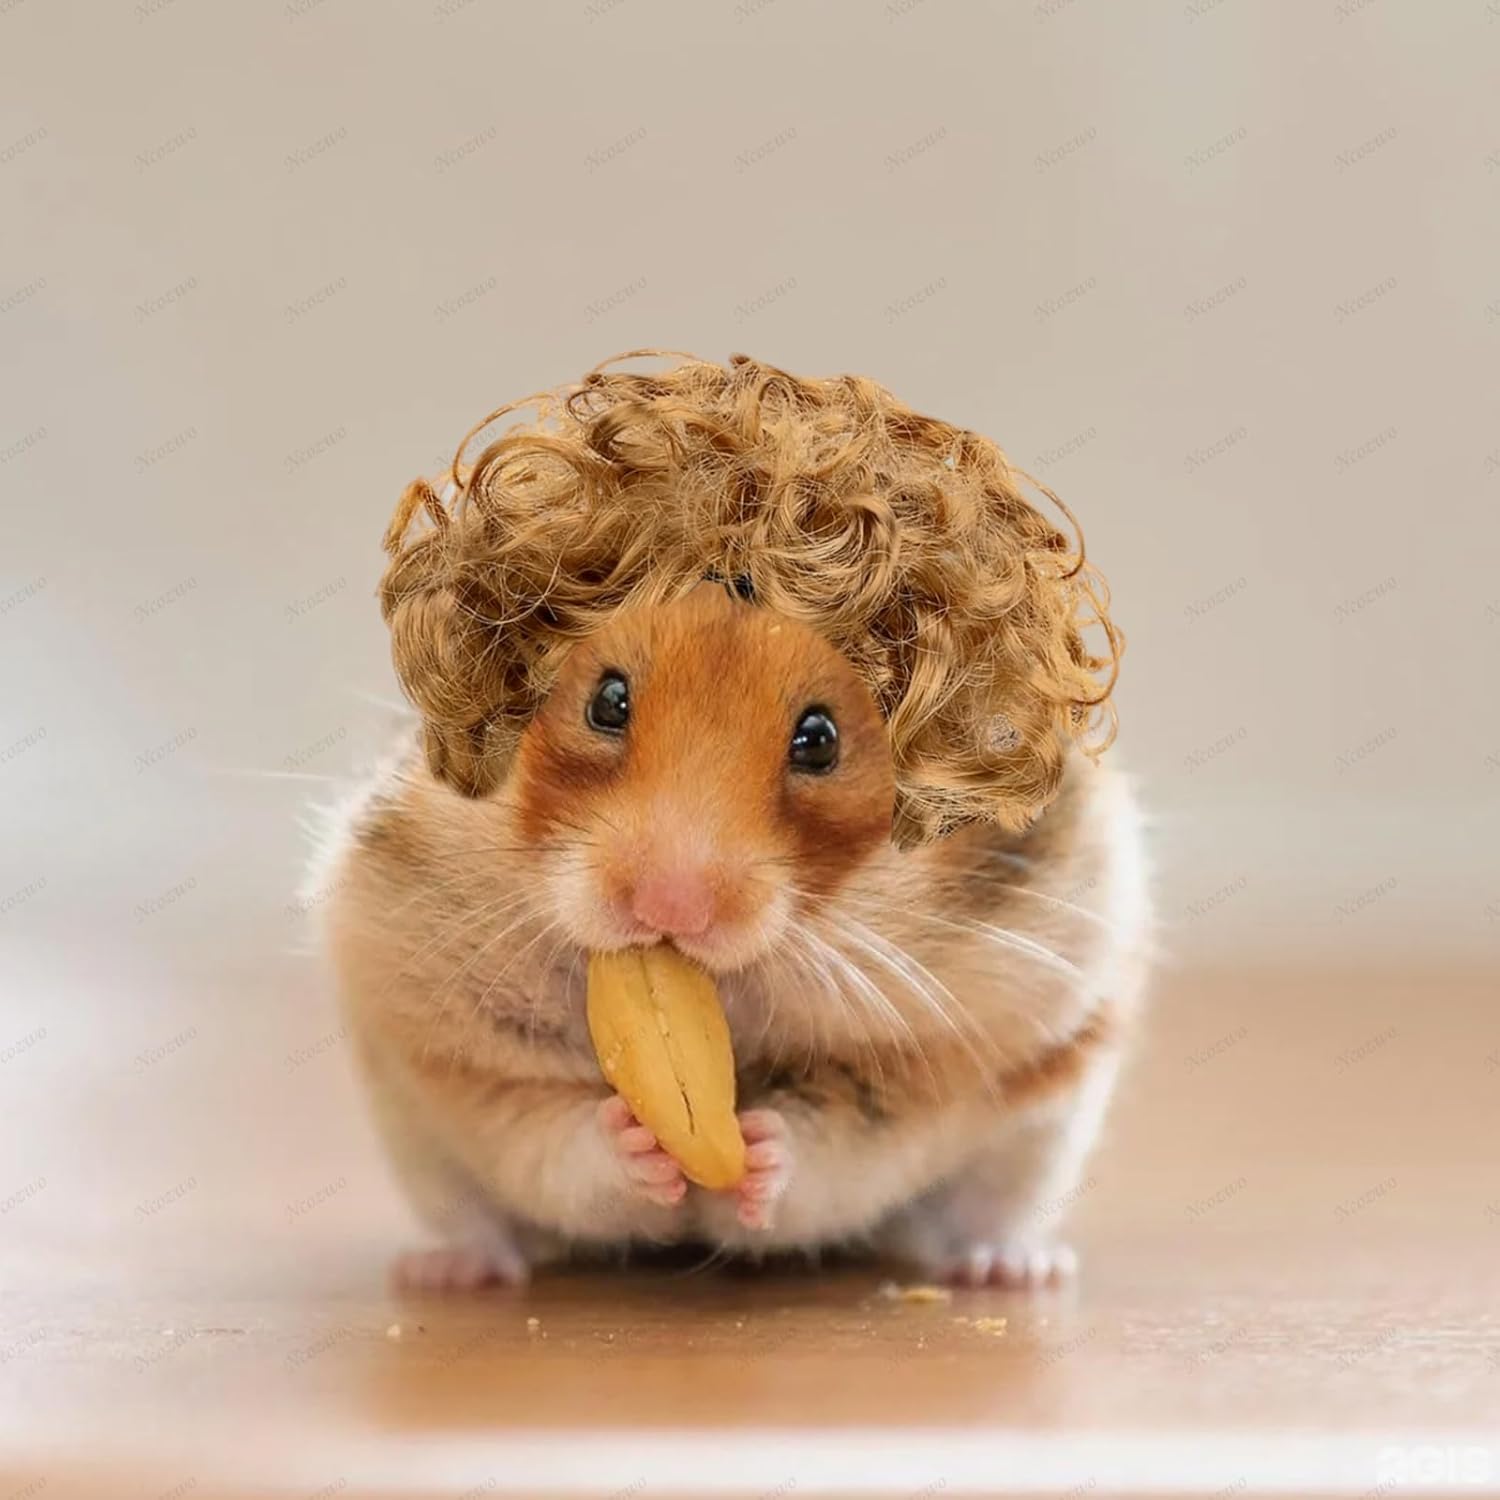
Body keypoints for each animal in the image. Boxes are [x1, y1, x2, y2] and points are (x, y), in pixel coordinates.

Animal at [320, 581, 1150, 1290]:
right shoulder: (457, 1053)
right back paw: (445, 1273)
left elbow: (838, 1144)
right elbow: (552, 1137)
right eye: (608, 703)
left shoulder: (941, 1061)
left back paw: (1013, 1270)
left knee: (982, 1217)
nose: (670, 906)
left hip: (1041, 1139)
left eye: (819, 740)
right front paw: (636, 1140)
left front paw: (756, 1153)